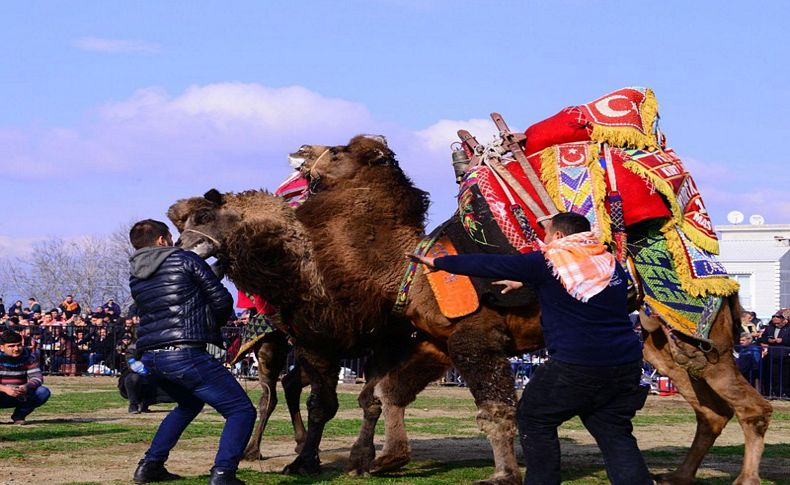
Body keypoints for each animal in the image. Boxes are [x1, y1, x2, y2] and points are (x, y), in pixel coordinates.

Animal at [169, 134, 772, 482]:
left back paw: (744, 478)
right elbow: (384, 394)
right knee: (710, 409)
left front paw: (503, 474)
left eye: (336, 152)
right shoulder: (434, 340)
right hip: (661, 342)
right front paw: (385, 459)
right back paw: (682, 475)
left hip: (704, 338)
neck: (400, 268)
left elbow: (493, 409)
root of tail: (721, 278)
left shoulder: (471, 338)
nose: (300, 155)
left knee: (750, 407)